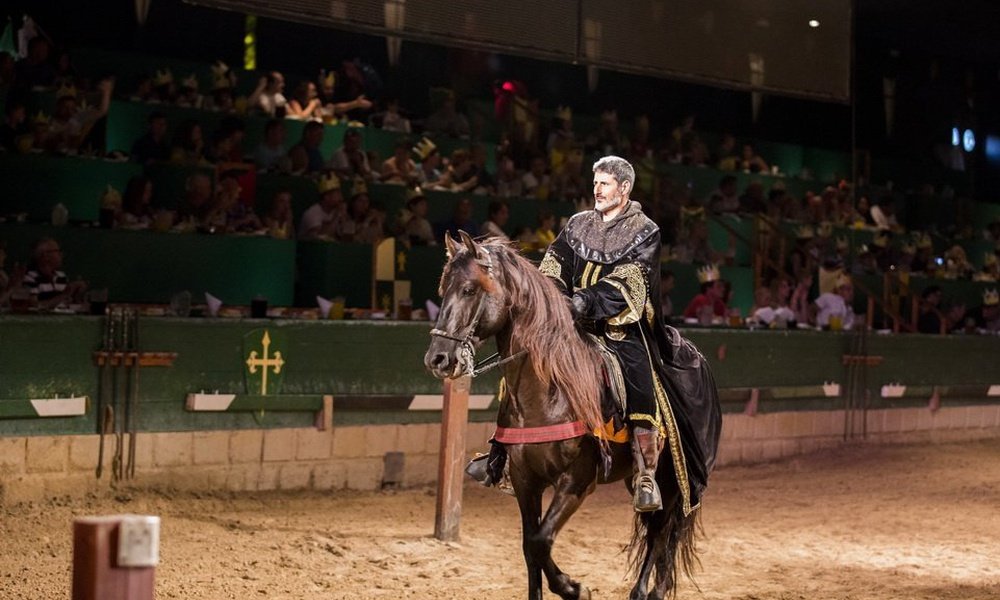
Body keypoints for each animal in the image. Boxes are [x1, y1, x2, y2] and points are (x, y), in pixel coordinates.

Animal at [426, 233, 700, 600]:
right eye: (444, 288)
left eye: (470, 289)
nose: (438, 358)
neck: (548, 393)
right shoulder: (525, 481)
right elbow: (530, 548)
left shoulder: (576, 483)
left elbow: (542, 541)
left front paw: (574, 588)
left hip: (672, 485)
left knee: (660, 533)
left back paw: (645, 592)